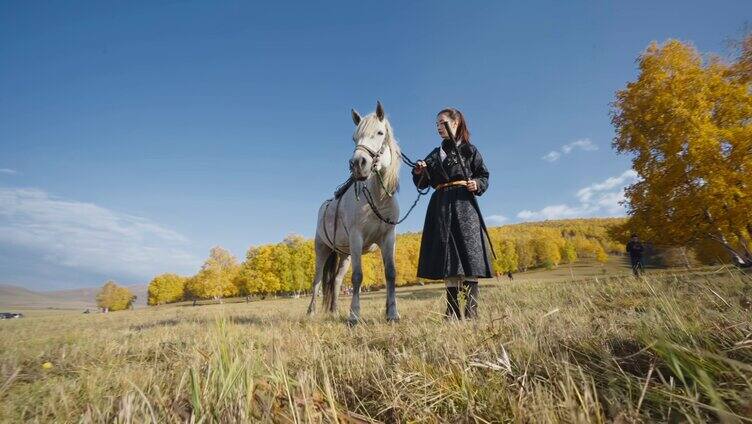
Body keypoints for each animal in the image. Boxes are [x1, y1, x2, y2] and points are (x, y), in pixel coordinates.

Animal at [306, 102, 402, 322]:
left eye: (380, 132)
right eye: (354, 137)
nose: (358, 164)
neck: (377, 198)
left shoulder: (388, 237)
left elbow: (390, 273)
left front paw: (392, 312)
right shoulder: (357, 237)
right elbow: (358, 276)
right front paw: (354, 315)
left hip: (345, 255)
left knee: (336, 280)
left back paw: (334, 310)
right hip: (322, 249)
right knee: (317, 280)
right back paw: (311, 312)